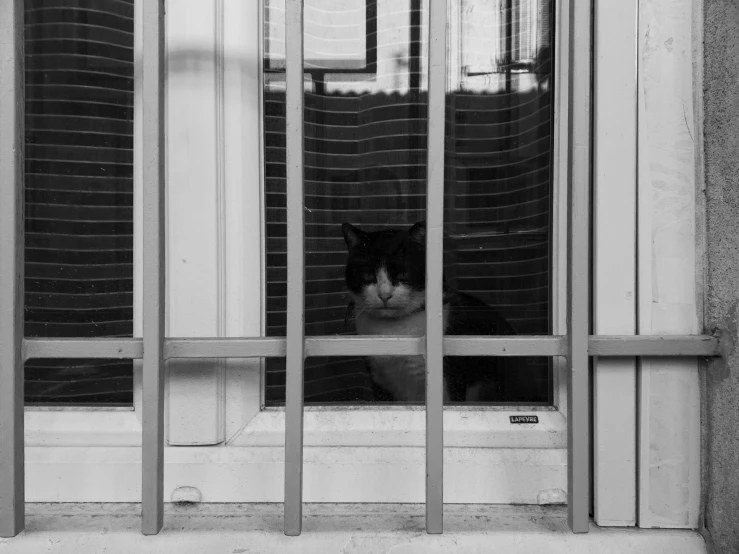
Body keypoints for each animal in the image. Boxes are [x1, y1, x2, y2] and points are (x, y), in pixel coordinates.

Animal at [342, 220, 520, 402]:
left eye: (403, 274)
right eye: (367, 275)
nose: (384, 295)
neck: (394, 332)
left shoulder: (447, 381)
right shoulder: (378, 381)